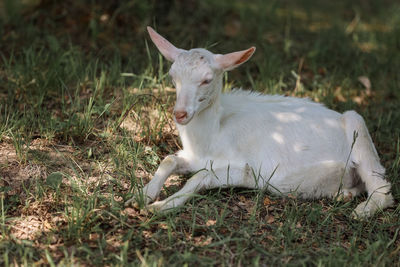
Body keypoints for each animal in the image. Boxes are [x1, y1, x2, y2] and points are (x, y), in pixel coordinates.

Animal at [126, 26, 394, 218]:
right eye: (172, 76)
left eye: (207, 79)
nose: (180, 113)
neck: (213, 134)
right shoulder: (193, 157)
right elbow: (169, 160)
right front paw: (139, 196)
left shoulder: (245, 170)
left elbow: (198, 179)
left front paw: (160, 207)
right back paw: (344, 194)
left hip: (358, 126)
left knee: (382, 189)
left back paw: (362, 211)